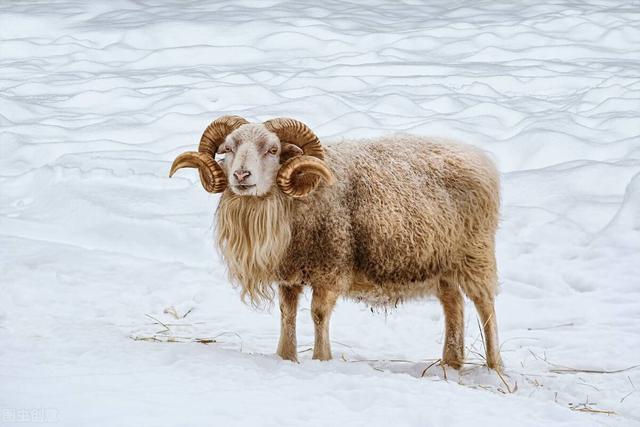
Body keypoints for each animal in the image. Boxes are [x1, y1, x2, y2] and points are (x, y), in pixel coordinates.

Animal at [171, 116, 504, 372]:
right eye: (228, 149)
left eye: (273, 149)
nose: (241, 175)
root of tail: (478, 157)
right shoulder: (289, 275)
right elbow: (287, 313)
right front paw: (286, 357)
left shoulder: (330, 267)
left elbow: (318, 314)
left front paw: (321, 359)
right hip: (441, 261)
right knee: (453, 304)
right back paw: (451, 362)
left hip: (476, 253)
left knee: (485, 307)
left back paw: (494, 367)